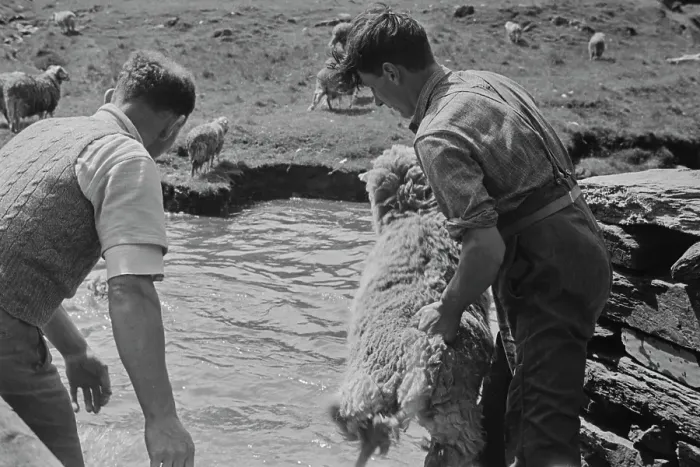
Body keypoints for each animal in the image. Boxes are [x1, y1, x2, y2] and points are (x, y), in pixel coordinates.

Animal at [329, 144, 494, 467]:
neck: (416, 214)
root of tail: (423, 356)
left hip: (369, 390)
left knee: (358, 423)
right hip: (452, 410)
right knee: (459, 448)